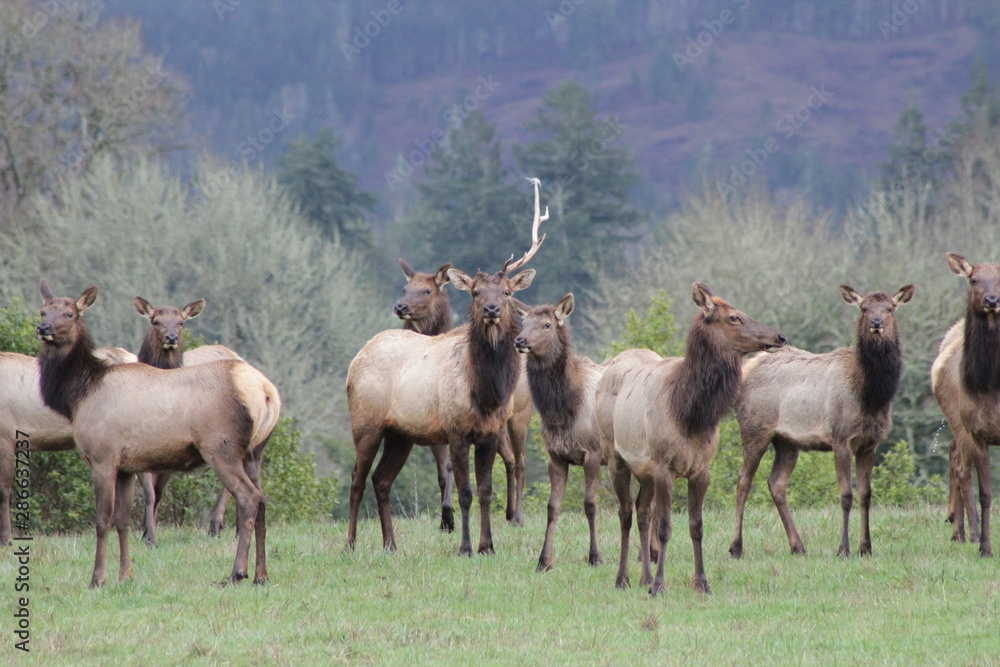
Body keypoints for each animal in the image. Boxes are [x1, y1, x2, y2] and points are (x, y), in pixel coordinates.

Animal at [132, 296, 244, 546]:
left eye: (181, 322)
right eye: (155, 321)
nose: (171, 338)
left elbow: (157, 493)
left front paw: (150, 536)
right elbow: (150, 493)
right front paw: (146, 534)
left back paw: (216, 525)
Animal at [394, 259, 532, 530]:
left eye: (427, 291)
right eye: (405, 289)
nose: (400, 306)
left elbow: (449, 466)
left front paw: (449, 514)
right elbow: (441, 471)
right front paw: (444, 518)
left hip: (521, 415)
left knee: (521, 462)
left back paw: (518, 517)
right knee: (510, 459)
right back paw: (509, 512)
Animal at [514, 293, 606, 571]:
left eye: (547, 325)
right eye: (523, 323)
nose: (520, 340)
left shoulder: (594, 453)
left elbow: (590, 504)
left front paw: (595, 556)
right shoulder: (555, 456)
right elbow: (553, 507)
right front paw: (544, 560)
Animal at [596, 283, 786, 595]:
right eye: (734, 317)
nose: (779, 336)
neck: (689, 414)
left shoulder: (700, 469)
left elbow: (696, 526)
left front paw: (702, 582)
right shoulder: (664, 466)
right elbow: (665, 527)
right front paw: (660, 585)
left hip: (644, 470)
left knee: (641, 511)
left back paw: (643, 577)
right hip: (615, 456)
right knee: (625, 514)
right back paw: (622, 579)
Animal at [730, 284, 915, 560]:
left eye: (890, 308)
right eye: (864, 308)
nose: (876, 323)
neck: (871, 396)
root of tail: (749, 366)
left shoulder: (870, 443)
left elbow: (866, 494)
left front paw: (866, 547)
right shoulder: (840, 438)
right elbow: (846, 494)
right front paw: (843, 548)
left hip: (787, 441)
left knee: (776, 483)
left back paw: (798, 546)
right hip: (754, 429)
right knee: (743, 480)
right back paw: (736, 547)